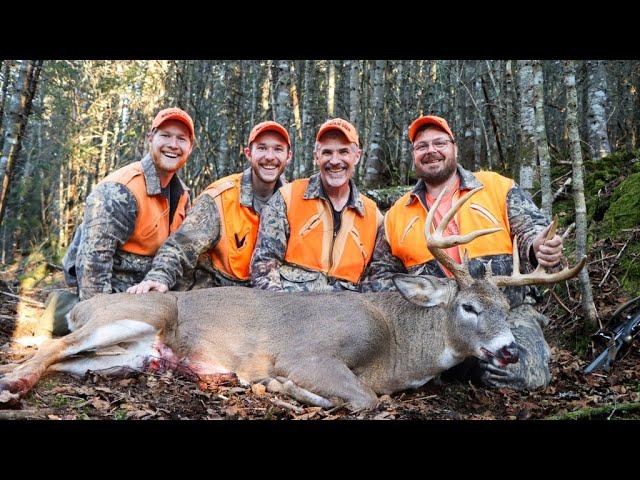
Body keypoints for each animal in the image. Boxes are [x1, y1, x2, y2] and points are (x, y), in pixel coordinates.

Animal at [0, 187, 584, 408]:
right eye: (469, 307)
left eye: (506, 309)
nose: (510, 350)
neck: (398, 347)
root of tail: (84, 303)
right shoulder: (308, 353)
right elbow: (364, 399)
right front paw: (278, 386)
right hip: (140, 311)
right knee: (51, 346)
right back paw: (13, 385)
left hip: (130, 355)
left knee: (68, 361)